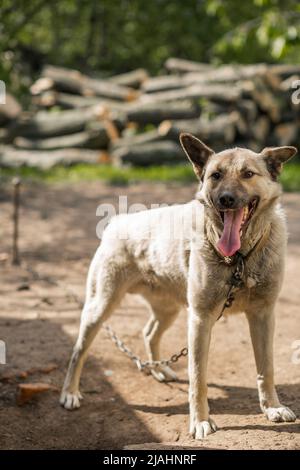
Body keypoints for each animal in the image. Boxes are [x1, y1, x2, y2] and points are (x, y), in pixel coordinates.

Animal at [60, 133, 298, 440]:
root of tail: (119, 220)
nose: (226, 199)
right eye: (215, 175)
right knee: (78, 351)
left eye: (248, 174)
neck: (239, 259)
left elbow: (266, 368)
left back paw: (159, 370)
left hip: (168, 310)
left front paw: (272, 408)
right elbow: (198, 377)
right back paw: (70, 393)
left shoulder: (263, 314)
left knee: (149, 333)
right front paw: (200, 422)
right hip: (100, 307)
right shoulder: (200, 319)